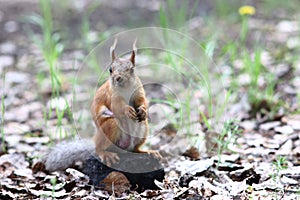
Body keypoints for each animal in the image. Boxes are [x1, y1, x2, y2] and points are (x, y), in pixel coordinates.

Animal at [44, 39, 159, 172]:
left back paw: (148, 152)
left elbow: (142, 101)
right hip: (110, 126)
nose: (118, 78)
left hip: (142, 129)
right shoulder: (112, 96)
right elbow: (118, 107)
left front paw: (143, 110)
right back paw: (106, 154)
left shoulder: (138, 91)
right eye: (110, 69)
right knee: (99, 148)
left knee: (135, 149)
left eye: (131, 69)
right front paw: (127, 110)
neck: (126, 88)